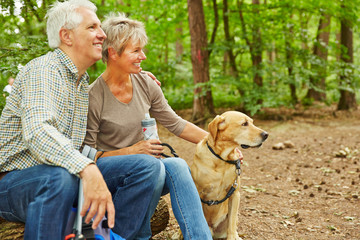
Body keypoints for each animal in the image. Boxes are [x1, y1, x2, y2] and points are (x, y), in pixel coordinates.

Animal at [191, 111, 268, 239]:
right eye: (244, 124)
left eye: (252, 122)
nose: (266, 134)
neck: (222, 159)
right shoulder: (197, 191)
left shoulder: (235, 194)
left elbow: (231, 223)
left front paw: (232, 236)